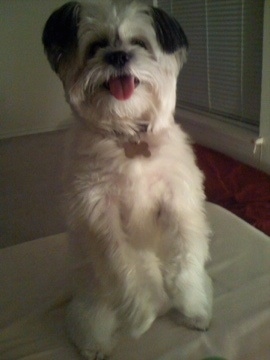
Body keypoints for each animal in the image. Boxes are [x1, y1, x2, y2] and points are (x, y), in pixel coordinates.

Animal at [42, 1, 213, 358]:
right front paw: (141, 314)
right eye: (96, 47)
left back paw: (191, 312)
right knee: (91, 323)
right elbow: (125, 268)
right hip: (93, 307)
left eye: (139, 44)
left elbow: (185, 257)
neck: (128, 133)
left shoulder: (179, 201)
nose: (119, 56)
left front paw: (190, 303)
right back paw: (99, 344)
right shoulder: (100, 216)